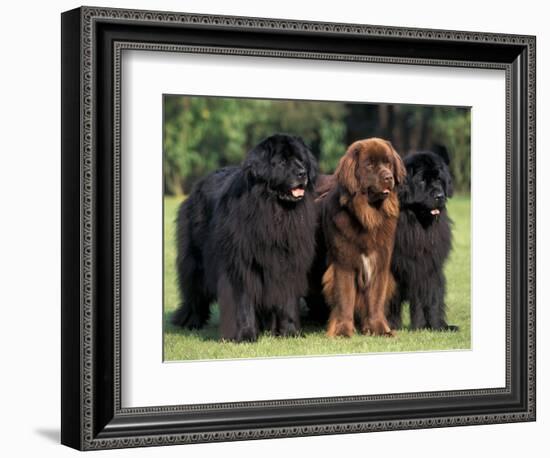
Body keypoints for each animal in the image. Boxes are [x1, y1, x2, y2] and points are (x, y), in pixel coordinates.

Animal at [172, 132, 320, 340]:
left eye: (301, 160)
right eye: (282, 162)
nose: (302, 173)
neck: (274, 211)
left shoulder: (289, 262)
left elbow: (288, 300)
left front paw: (290, 332)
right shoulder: (240, 265)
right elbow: (243, 300)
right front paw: (245, 334)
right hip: (195, 262)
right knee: (194, 293)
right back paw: (190, 321)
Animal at [322, 137, 408, 336]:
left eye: (388, 163)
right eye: (369, 165)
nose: (388, 177)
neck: (368, 217)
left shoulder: (380, 263)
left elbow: (376, 300)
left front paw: (380, 329)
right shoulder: (344, 264)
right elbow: (345, 298)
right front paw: (343, 331)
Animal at [388, 148, 462, 330]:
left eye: (439, 179)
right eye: (422, 180)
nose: (440, 196)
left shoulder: (429, 266)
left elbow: (431, 297)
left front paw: (434, 326)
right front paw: (390, 325)